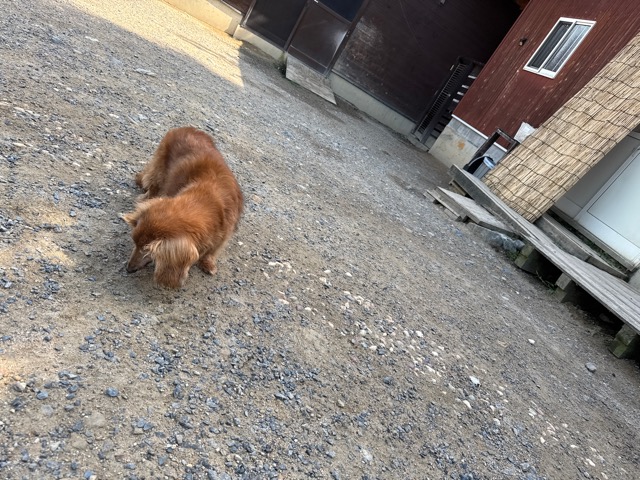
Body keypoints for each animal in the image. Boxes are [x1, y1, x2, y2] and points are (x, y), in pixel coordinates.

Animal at [122, 126, 243, 288]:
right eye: (135, 243)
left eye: (147, 250)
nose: (128, 269)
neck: (209, 199)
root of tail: (188, 127)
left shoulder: (224, 232)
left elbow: (212, 251)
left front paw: (208, 264)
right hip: (160, 169)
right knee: (153, 185)